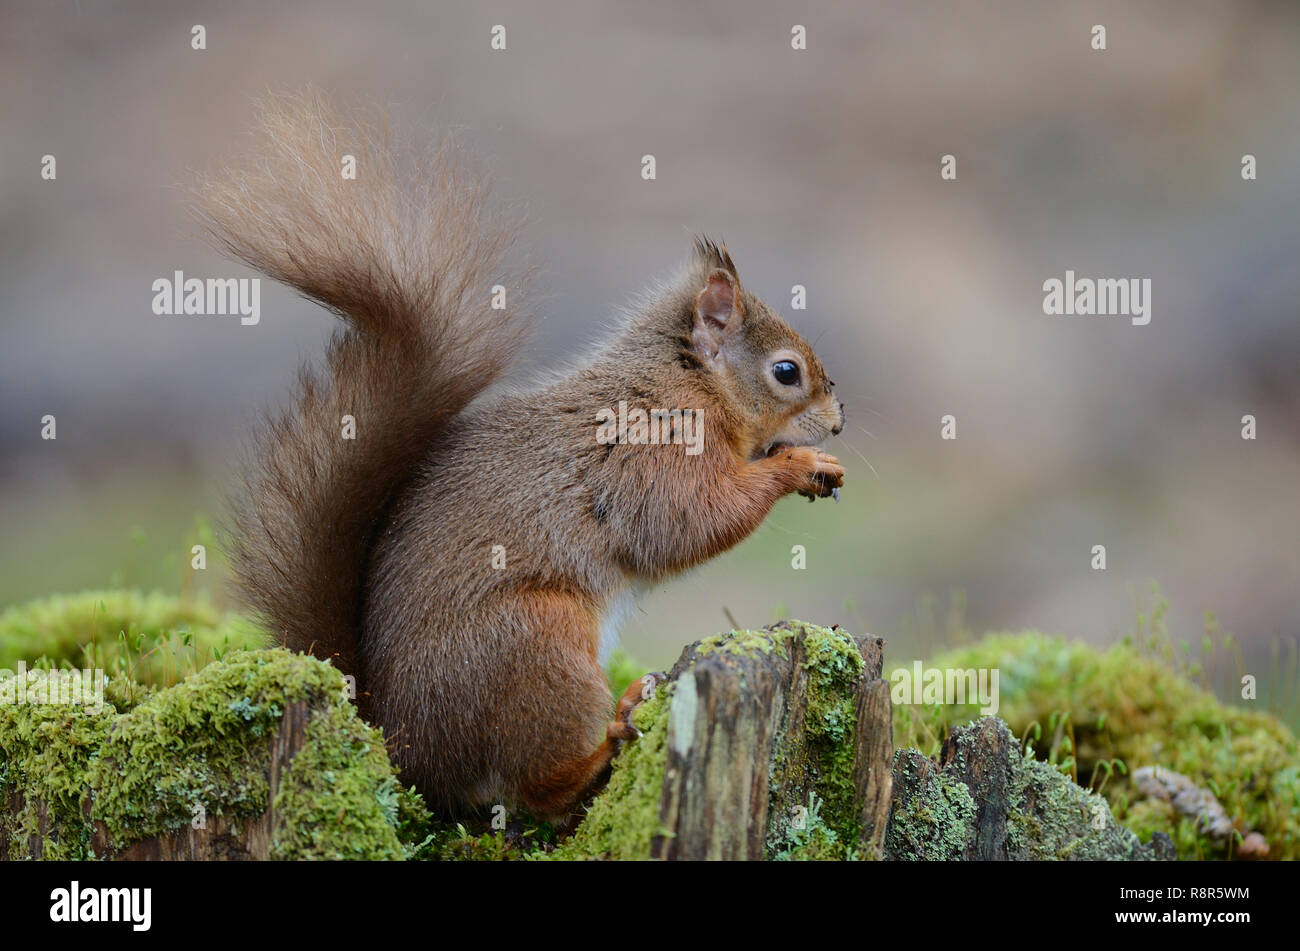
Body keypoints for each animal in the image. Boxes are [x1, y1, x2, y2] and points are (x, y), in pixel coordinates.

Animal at [192, 92, 842, 826]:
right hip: (537, 643)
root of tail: (403, 748)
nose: (840, 419)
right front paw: (799, 465)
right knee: (540, 787)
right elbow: (686, 523)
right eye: (786, 372)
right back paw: (609, 739)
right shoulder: (650, 456)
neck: (686, 385)